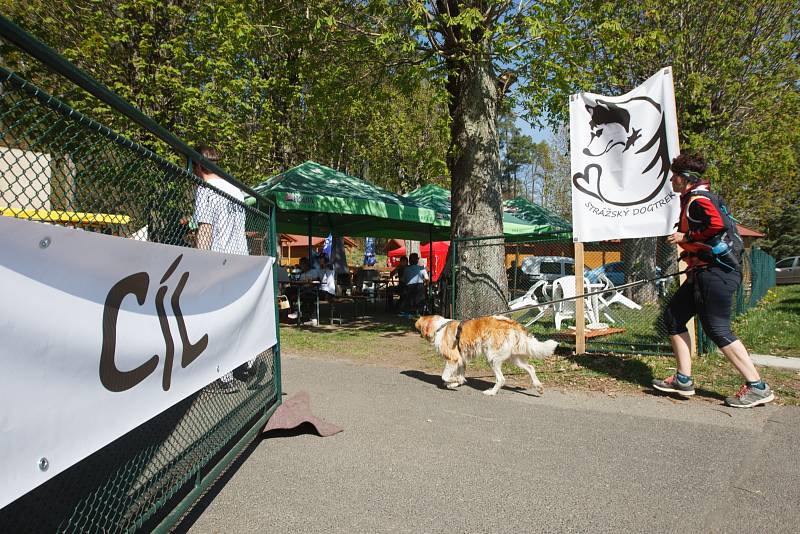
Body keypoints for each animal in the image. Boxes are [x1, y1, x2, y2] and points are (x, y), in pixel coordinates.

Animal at [416, 316, 560, 396]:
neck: (440, 327)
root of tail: (511, 323)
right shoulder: (461, 360)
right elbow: (461, 376)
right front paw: (456, 382)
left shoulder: (453, 359)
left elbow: (445, 376)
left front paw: (453, 381)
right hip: (514, 358)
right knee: (531, 368)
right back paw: (538, 387)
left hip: (492, 358)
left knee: (501, 379)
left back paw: (491, 392)